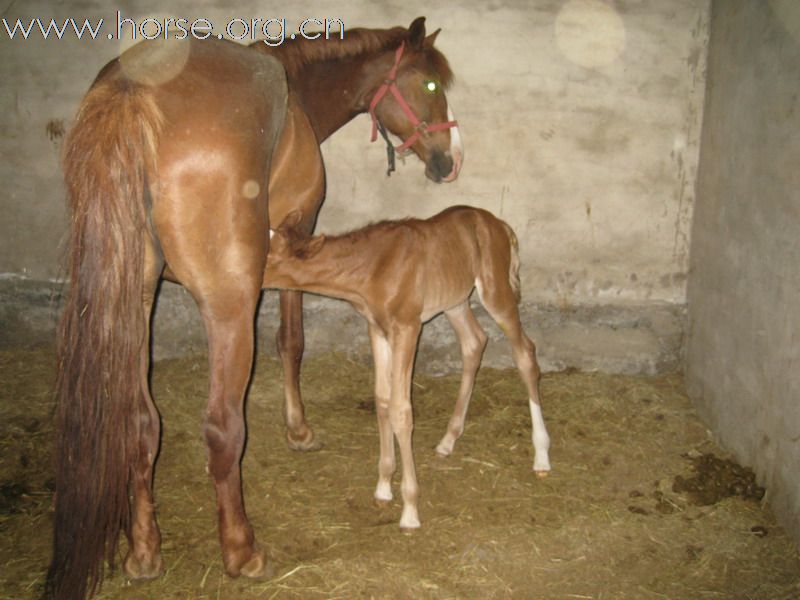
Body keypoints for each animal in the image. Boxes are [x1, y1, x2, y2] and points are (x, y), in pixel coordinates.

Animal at [48, 16, 462, 596]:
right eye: (428, 83)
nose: (448, 161)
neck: (299, 95)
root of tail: (133, 94)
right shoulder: (299, 232)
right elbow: (291, 342)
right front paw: (299, 431)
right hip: (227, 305)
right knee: (222, 427)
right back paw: (242, 551)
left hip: (134, 300)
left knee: (140, 422)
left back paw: (145, 551)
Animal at [262, 207, 552, 528]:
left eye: (268, 256)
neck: (372, 267)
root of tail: (500, 225)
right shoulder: (377, 329)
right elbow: (383, 400)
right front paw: (383, 487)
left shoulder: (408, 327)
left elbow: (402, 409)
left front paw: (410, 510)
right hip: (454, 300)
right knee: (474, 343)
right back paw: (448, 440)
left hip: (495, 291)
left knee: (525, 354)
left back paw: (541, 456)